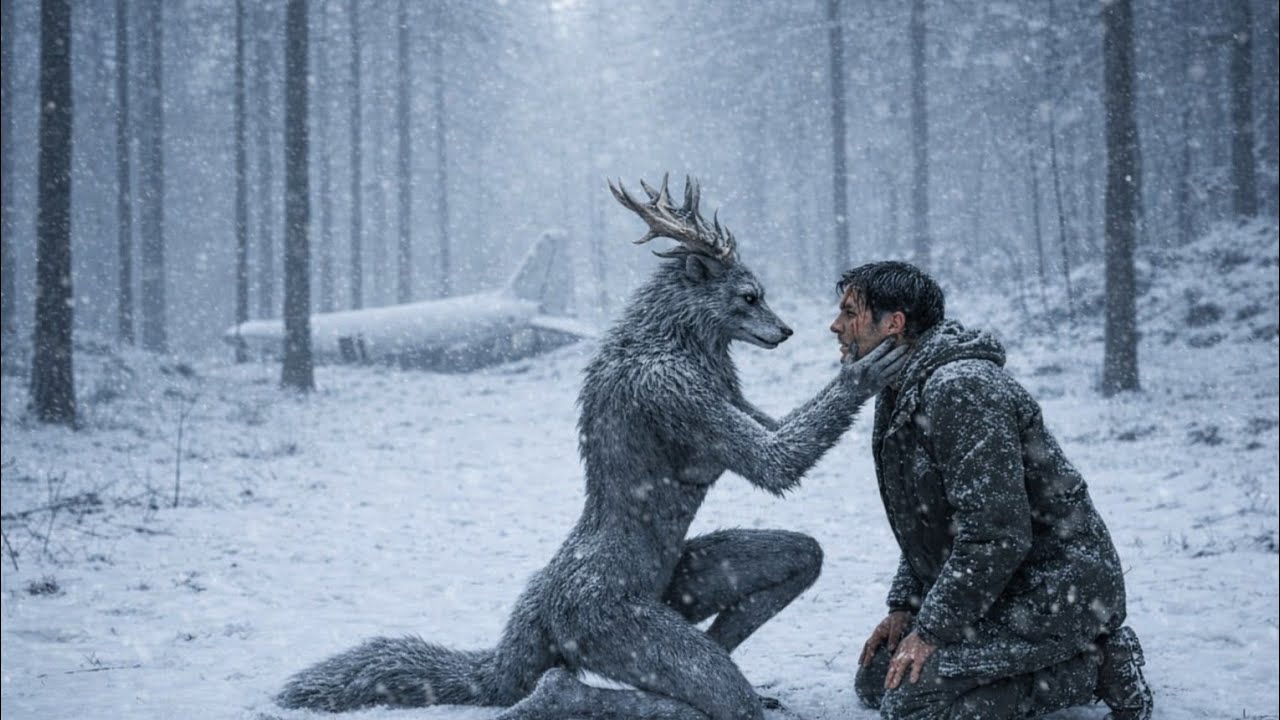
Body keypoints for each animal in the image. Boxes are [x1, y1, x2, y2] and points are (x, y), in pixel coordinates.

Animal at [276, 176, 907, 720]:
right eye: (749, 296)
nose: (786, 331)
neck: (668, 336)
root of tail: (534, 617)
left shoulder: (738, 404)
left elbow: (780, 446)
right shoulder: (675, 391)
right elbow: (774, 462)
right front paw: (863, 372)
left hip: (684, 585)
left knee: (796, 561)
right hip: (619, 630)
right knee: (677, 695)